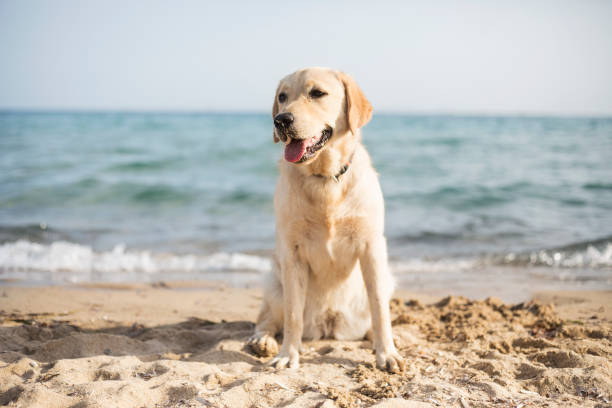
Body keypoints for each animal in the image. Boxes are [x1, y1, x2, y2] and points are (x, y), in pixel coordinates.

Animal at [246, 66, 404, 372]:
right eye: (282, 97)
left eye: (317, 93)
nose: (281, 120)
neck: (325, 179)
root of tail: (328, 323)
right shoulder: (292, 252)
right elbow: (292, 315)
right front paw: (287, 354)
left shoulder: (372, 247)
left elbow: (380, 310)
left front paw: (387, 353)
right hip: (274, 282)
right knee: (267, 319)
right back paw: (263, 341)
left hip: (386, 278)